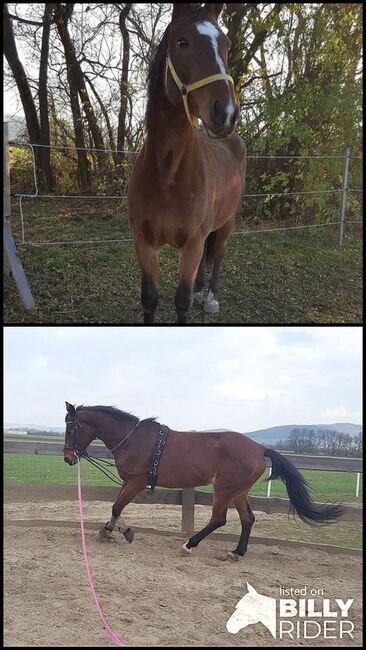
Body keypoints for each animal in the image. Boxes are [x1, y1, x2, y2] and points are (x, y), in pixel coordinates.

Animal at [61, 400, 344, 556]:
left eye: (70, 428)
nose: (67, 458)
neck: (133, 439)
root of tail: (260, 448)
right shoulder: (128, 481)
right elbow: (116, 507)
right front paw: (110, 530)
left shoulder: (136, 481)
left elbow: (117, 506)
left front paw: (120, 531)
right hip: (239, 492)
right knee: (248, 519)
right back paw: (237, 552)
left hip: (224, 489)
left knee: (219, 519)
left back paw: (189, 544)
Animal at [128, 2, 246, 322]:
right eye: (182, 42)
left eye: (227, 45)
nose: (226, 113)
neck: (167, 173)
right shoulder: (144, 242)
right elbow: (149, 298)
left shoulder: (192, 243)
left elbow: (182, 301)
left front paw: (196, 298)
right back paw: (201, 289)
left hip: (227, 223)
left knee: (218, 255)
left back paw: (211, 298)